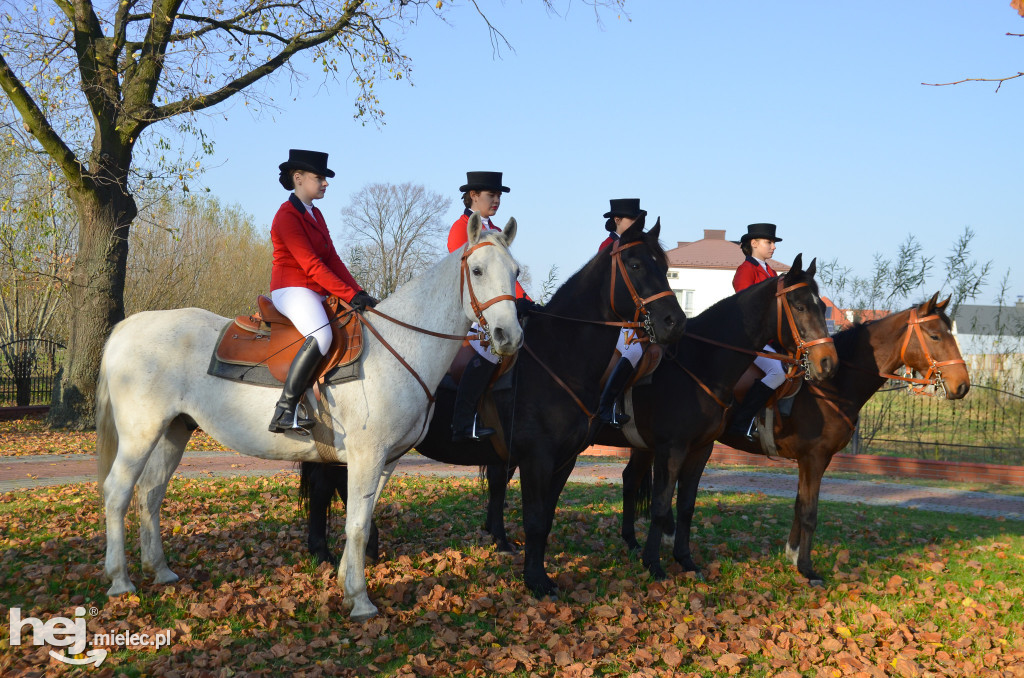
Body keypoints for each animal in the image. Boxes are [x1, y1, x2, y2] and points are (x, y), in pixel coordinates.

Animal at [96, 214, 524, 622]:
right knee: (118, 493)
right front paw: (360, 600)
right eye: (477, 270)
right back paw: (120, 580)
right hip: (140, 434)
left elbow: (363, 519)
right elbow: (356, 525)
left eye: (516, 271)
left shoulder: (386, 461)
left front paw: (345, 581)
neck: (400, 346)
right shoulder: (366, 457)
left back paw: (160, 570)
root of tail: (127, 327)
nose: (510, 337)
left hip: (174, 431)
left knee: (150, 494)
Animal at [301, 216, 688, 594]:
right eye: (635, 264)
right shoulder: (537, 458)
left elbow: (545, 517)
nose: (675, 322)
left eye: (665, 267)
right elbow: (535, 520)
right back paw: (325, 552)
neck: (558, 356)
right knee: (324, 488)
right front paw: (536, 581)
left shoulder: (564, 460)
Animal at [622, 292, 966, 585]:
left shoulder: (810, 461)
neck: (832, 385)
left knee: (633, 477)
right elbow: (810, 512)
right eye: (935, 335)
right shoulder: (815, 458)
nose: (962, 385)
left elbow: (800, 505)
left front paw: (792, 553)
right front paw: (806, 568)